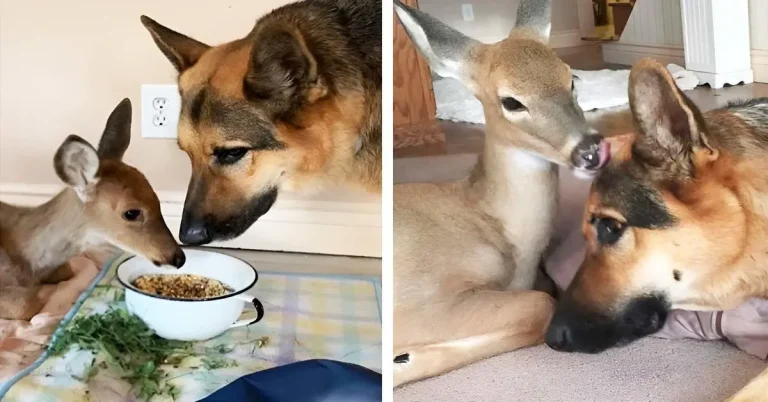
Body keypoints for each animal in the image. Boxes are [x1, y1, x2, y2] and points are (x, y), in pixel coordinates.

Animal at [392, 0, 612, 386]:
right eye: (511, 101)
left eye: (572, 78)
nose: (590, 150)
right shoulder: (417, 300)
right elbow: (541, 305)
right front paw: (403, 360)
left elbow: (543, 297)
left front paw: (405, 360)